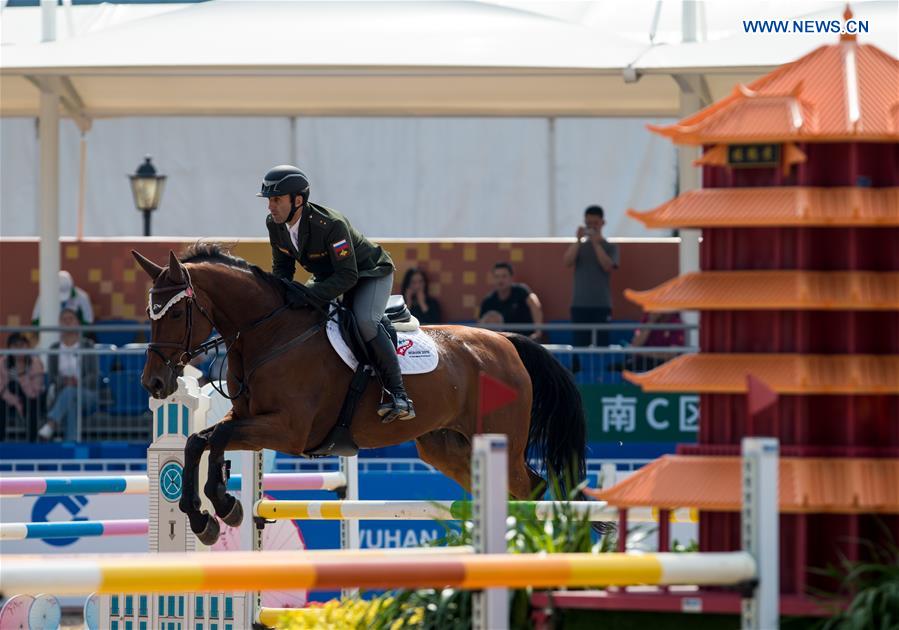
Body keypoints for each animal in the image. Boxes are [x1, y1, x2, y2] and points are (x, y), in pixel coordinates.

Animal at [130, 244, 588, 544]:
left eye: (175, 312)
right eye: (150, 312)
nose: (154, 383)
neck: (271, 333)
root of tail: (507, 343)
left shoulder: (288, 431)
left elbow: (215, 438)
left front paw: (222, 504)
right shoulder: (248, 420)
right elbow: (198, 441)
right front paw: (205, 516)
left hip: (500, 441)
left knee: (532, 491)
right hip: (448, 448)